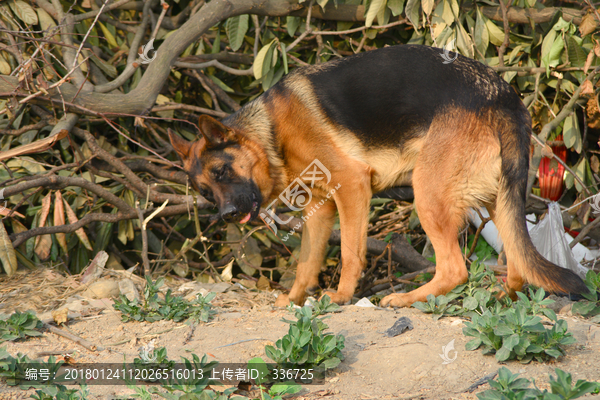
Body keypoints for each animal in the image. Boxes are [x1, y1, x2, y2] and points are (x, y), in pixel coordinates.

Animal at [168, 44, 584, 306]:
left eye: (223, 171)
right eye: (204, 191)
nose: (225, 216)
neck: (270, 133)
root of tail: (502, 94)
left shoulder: (352, 187)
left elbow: (350, 253)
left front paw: (340, 296)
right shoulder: (320, 210)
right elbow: (306, 264)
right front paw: (293, 300)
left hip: (428, 194)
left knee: (455, 269)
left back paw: (406, 298)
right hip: (497, 199)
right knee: (517, 261)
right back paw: (504, 296)